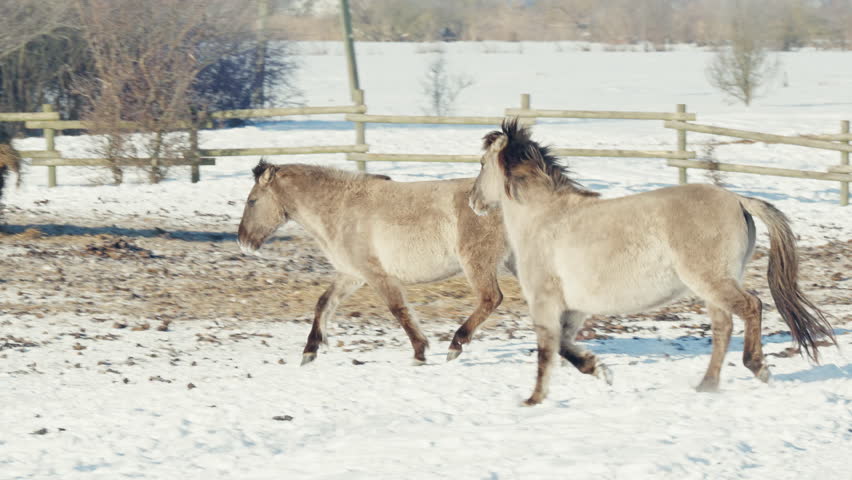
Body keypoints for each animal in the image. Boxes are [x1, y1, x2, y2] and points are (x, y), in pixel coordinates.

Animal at [238, 160, 511, 365]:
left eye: (252, 201)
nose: (243, 241)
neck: (340, 209)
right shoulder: (351, 274)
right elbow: (324, 303)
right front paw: (310, 350)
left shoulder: (376, 274)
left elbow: (398, 309)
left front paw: (419, 352)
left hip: (477, 262)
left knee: (490, 298)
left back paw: (455, 344)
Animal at [469, 119, 836, 406]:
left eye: (482, 164)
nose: (473, 201)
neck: (544, 219)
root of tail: (737, 200)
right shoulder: (573, 307)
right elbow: (565, 347)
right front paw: (601, 370)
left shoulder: (545, 301)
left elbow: (547, 352)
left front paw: (533, 400)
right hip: (712, 284)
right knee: (723, 327)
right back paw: (707, 385)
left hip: (711, 279)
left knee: (751, 307)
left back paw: (757, 366)